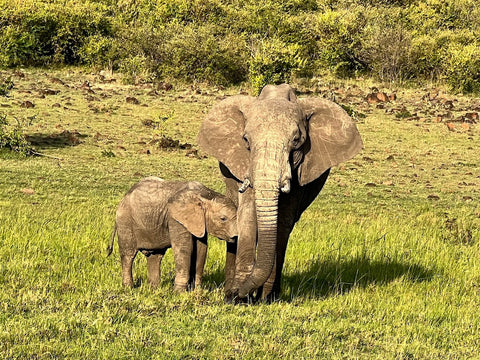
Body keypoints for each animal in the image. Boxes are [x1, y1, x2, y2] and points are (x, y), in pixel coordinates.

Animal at [108, 177, 237, 292]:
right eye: (223, 219)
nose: (235, 237)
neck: (206, 194)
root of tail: (124, 198)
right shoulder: (175, 218)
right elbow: (184, 249)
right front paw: (179, 293)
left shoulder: (199, 222)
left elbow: (201, 249)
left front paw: (197, 290)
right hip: (125, 222)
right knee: (128, 255)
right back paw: (128, 288)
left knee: (155, 256)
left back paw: (154, 289)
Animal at [197, 83, 362, 300]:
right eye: (246, 140)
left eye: (296, 141)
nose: (238, 293)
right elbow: (247, 215)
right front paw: (238, 297)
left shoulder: (301, 172)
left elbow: (283, 221)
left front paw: (263, 297)